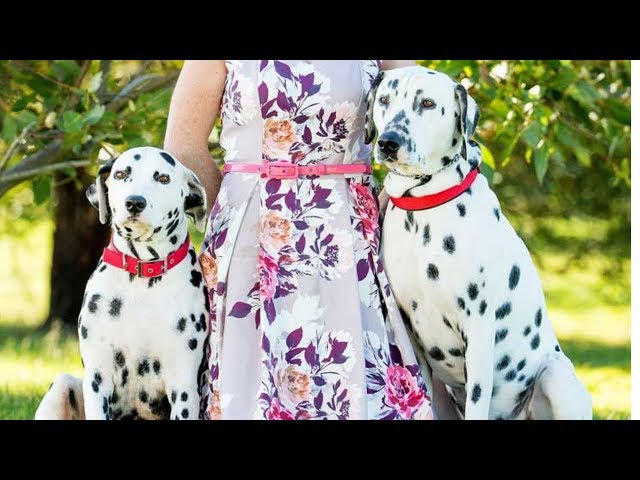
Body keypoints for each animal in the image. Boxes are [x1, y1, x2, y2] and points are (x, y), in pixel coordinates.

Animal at [35, 146, 209, 420]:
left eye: (163, 178)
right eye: (120, 174)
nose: (134, 202)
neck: (142, 276)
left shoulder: (183, 386)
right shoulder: (97, 377)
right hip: (63, 385)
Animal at [368, 66, 592, 420]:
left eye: (427, 103)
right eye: (384, 100)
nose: (389, 142)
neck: (425, 208)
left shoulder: (478, 331)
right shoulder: (412, 338)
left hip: (556, 375)